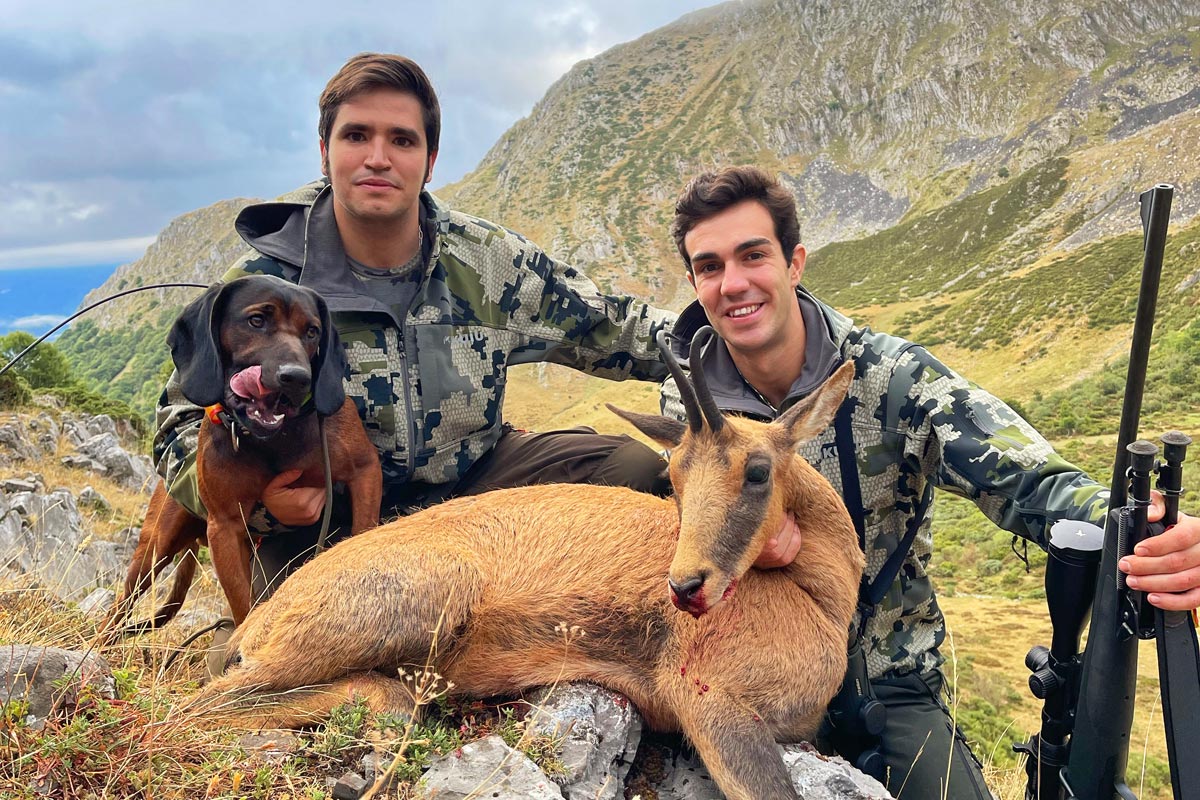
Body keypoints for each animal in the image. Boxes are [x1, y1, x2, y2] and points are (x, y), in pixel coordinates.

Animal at [107, 275, 381, 638]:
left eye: (312, 331)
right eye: (256, 320)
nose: (297, 377)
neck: (276, 439)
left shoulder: (365, 472)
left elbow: (363, 531)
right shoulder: (225, 528)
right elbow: (243, 607)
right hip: (154, 548)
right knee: (118, 607)